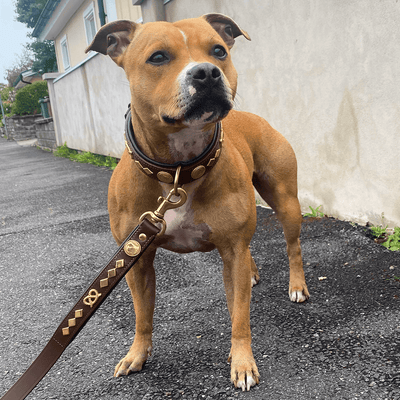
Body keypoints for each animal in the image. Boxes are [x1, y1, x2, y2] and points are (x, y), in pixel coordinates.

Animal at [86, 12, 308, 390]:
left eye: (218, 51)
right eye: (158, 57)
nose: (206, 72)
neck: (179, 169)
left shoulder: (232, 249)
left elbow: (240, 317)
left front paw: (242, 362)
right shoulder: (136, 258)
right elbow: (142, 314)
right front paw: (137, 354)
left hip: (285, 200)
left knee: (292, 246)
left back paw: (297, 286)